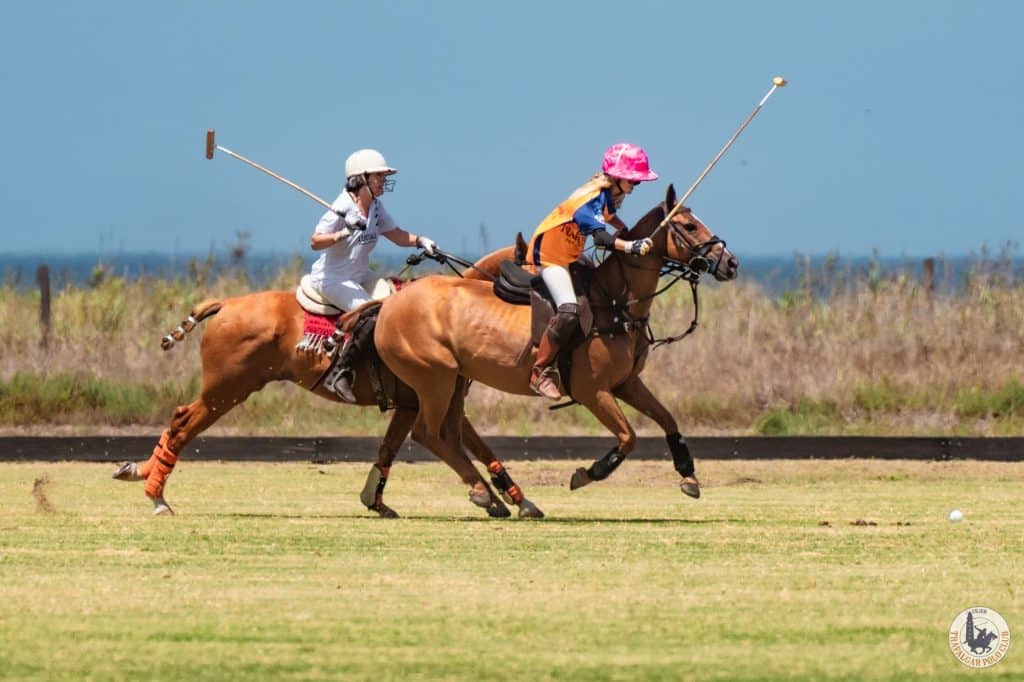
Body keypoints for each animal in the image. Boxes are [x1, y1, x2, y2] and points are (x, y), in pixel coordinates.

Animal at [114, 254, 544, 516]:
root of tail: (226, 304)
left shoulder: (419, 401)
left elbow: (414, 447)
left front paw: (520, 501)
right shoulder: (426, 397)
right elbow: (448, 443)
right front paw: (494, 497)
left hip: (226, 388)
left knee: (179, 418)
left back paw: (138, 472)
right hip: (228, 388)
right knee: (184, 424)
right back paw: (157, 496)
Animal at [374, 183, 737, 497]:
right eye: (689, 226)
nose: (731, 263)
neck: (615, 303)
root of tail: (391, 303)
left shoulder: (627, 383)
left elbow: (668, 420)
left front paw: (689, 475)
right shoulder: (593, 390)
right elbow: (628, 437)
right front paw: (587, 473)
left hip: (454, 381)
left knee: (448, 432)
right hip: (435, 378)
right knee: (427, 432)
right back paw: (486, 493)